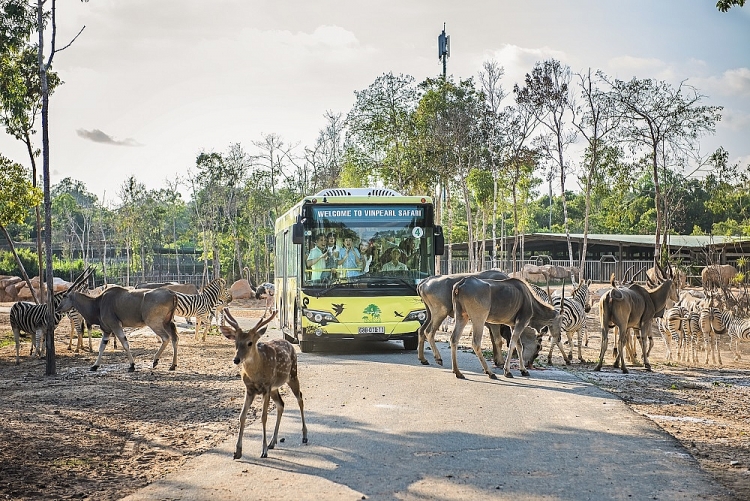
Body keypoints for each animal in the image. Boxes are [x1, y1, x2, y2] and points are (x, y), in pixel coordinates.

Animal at [220, 308, 308, 458]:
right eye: (236, 342)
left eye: (250, 342)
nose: (236, 359)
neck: (256, 374)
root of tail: (289, 343)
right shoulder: (250, 389)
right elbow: (242, 416)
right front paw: (237, 451)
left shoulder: (266, 387)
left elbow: (264, 417)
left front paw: (263, 450)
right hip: (275, 387)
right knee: (281, 404)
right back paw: (273, 441)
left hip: (292, 375)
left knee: (300, 398)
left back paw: (304, 436)